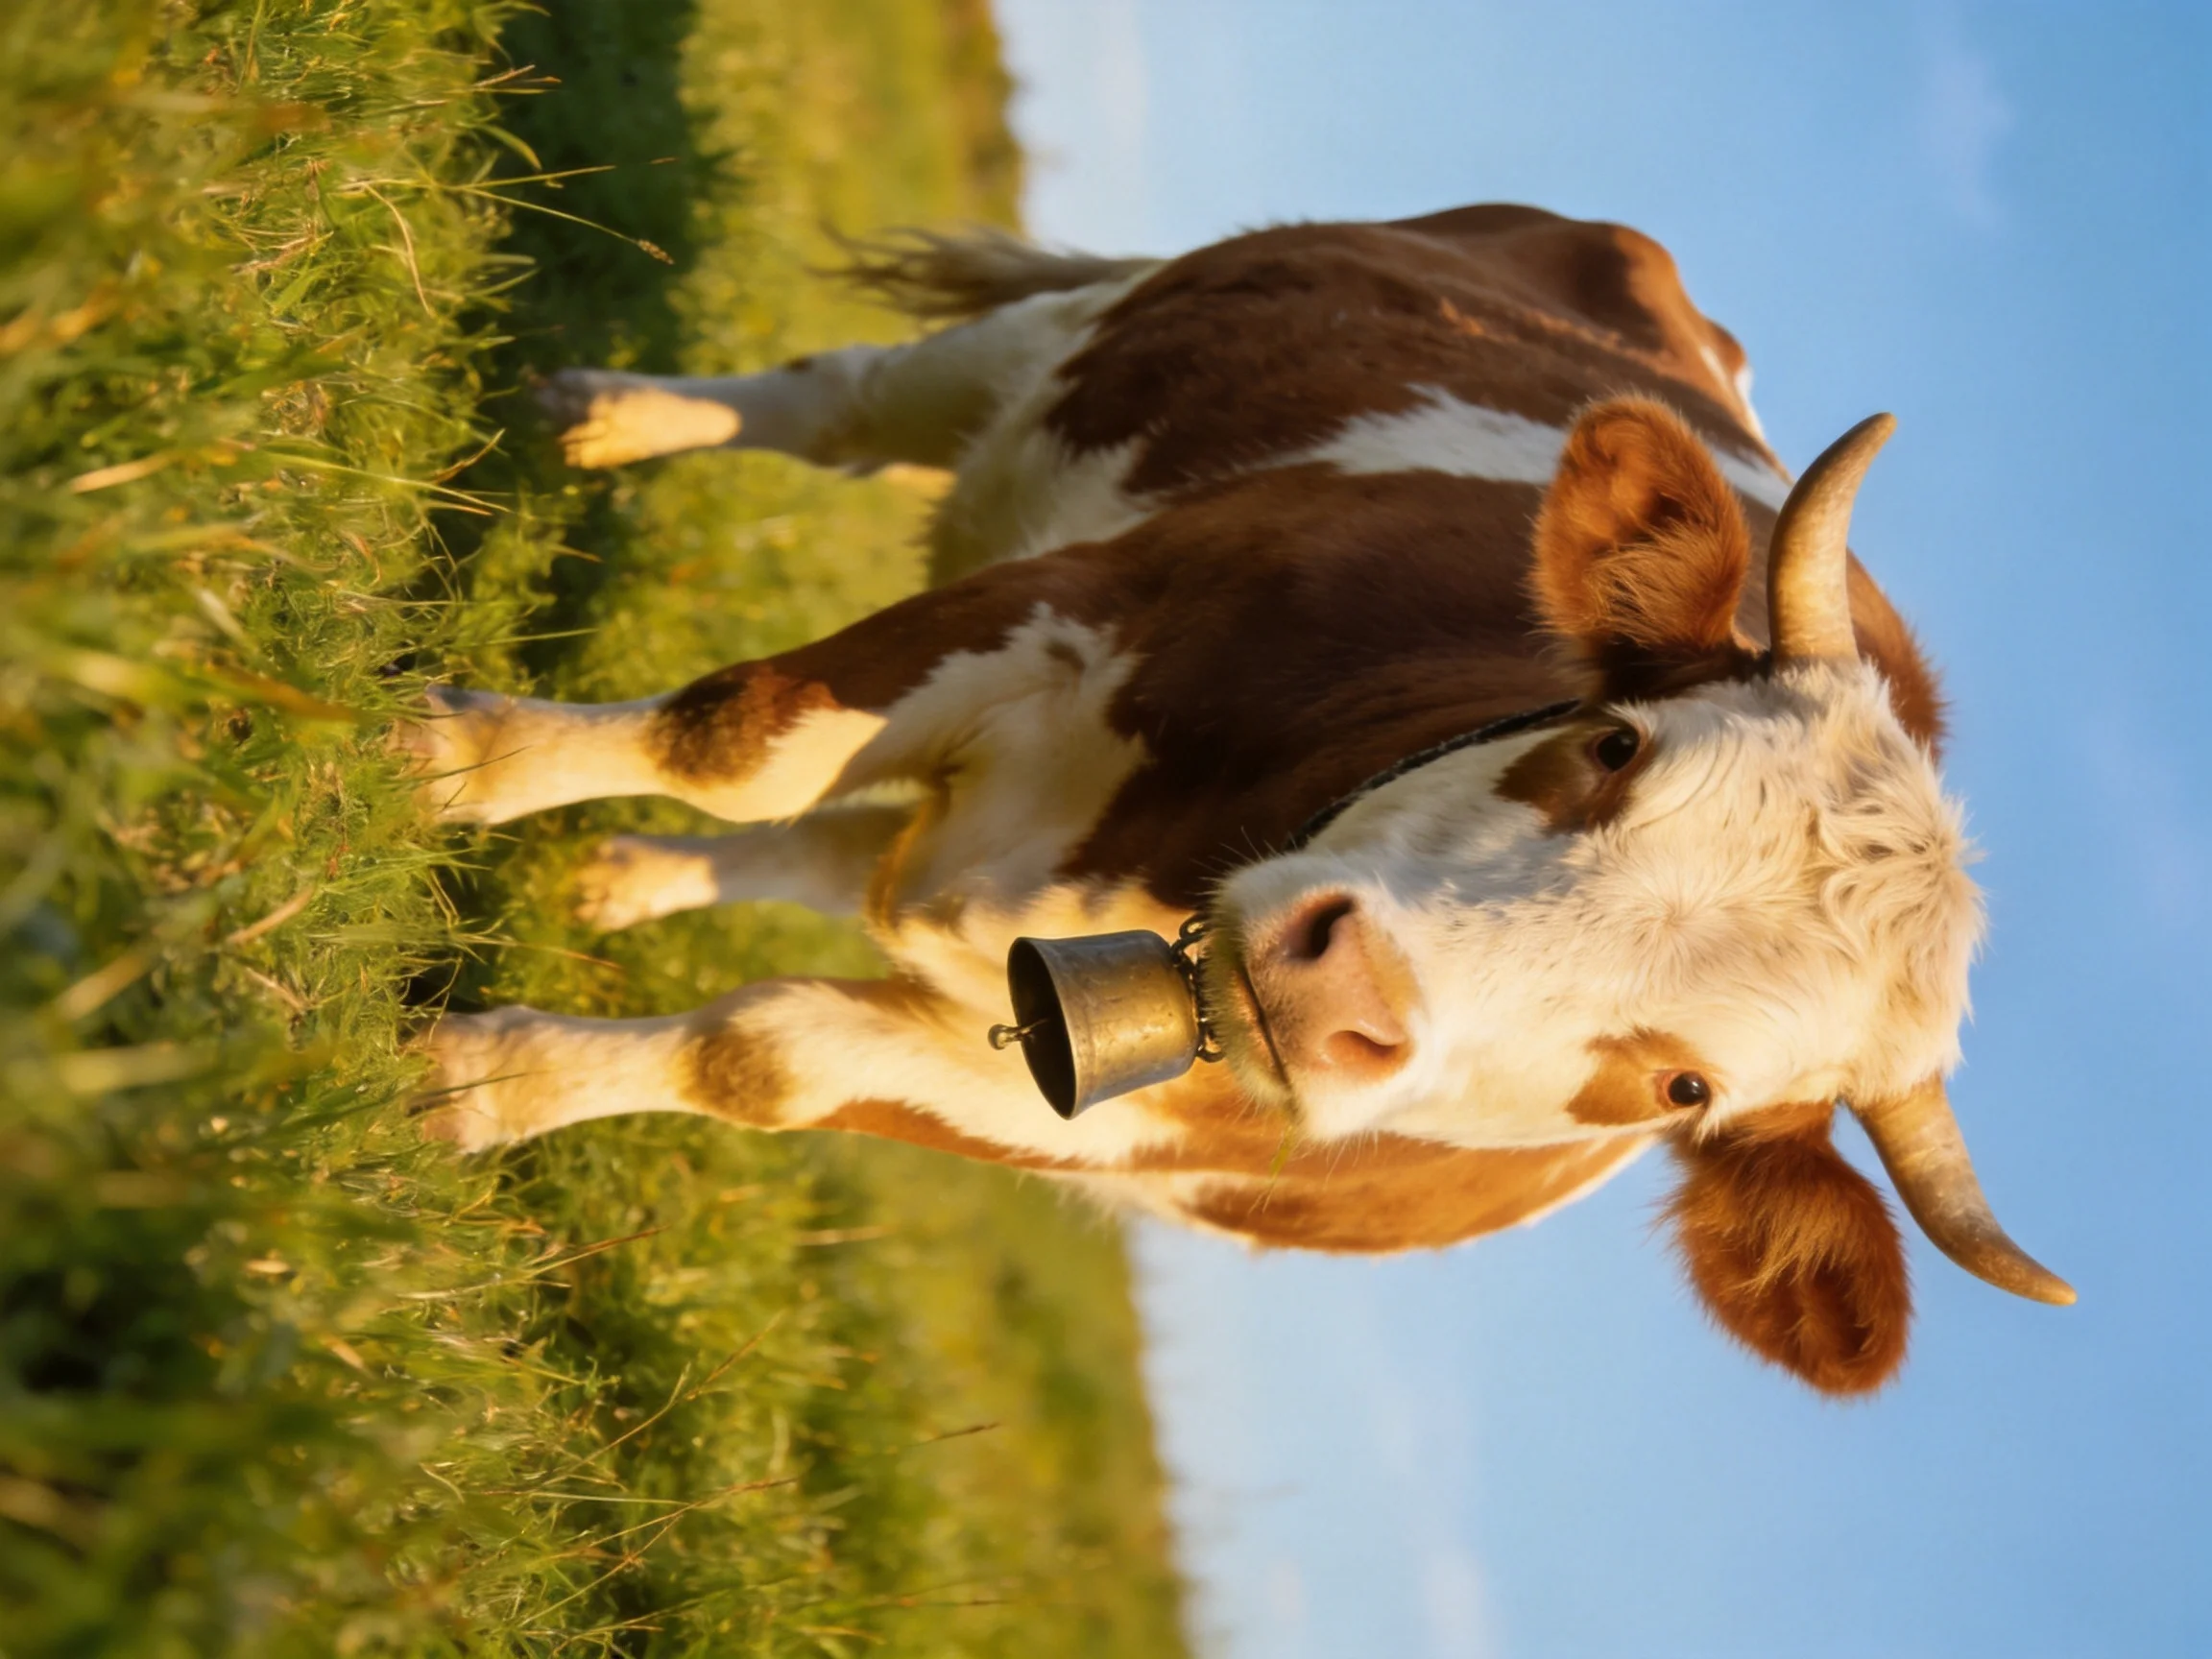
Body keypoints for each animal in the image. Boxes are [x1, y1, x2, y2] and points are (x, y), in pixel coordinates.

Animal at [410, 205, 2071, 1395]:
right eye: (1616, 749)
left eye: (1686, 1091)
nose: (1343, 989)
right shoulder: (1090, 599)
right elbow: (738, 740)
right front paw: (454, 766)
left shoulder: (1084, 1121)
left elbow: (762, 1055)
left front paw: (498, 1082)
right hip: (1057, 339)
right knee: (838, 410)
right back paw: (600, 413)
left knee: (835, 852)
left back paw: (631, 877)